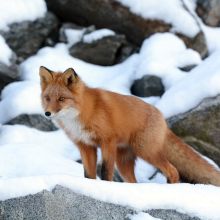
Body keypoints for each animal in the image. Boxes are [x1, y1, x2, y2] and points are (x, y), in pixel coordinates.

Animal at [39, 66, 220, 186]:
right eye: (48, 98)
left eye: (62, 99)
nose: (47, 113)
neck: (83, 113)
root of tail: (162, 116)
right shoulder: (85, 146)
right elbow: (88, 175)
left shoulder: (107, 141)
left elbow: (105, 172)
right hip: (124, 162)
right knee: (135, 182)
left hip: (145, 150)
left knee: (173, 171)